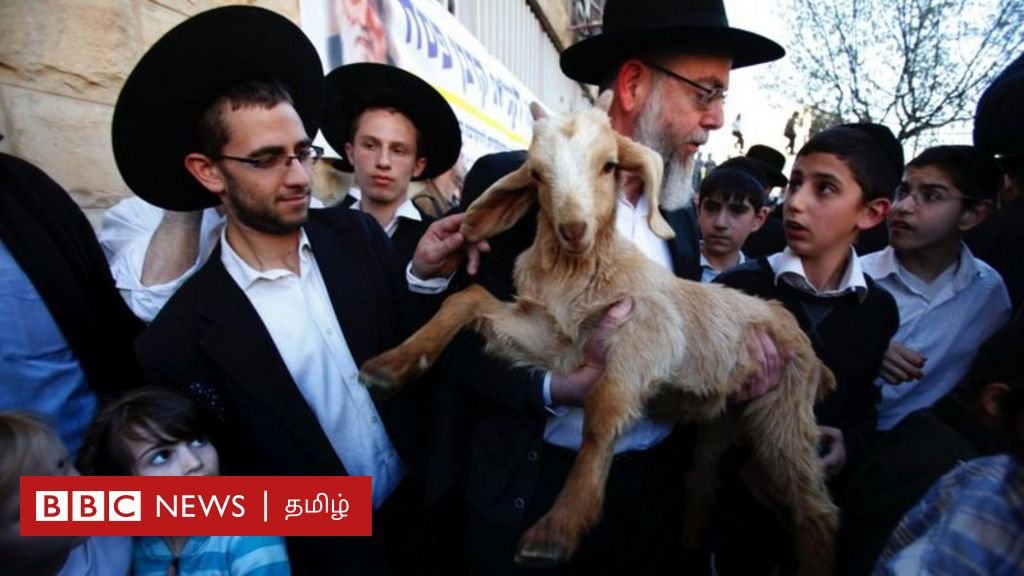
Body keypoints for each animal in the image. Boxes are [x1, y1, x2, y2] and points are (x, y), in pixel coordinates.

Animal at [360, 95, 839, 575]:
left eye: (609, 165)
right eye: (537, 173)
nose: (574, 229)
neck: (579, 272)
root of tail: (812, 352)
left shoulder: (647, 333)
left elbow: (601, 410)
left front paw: (557, 529)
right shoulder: (554, 341)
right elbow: (467, 298)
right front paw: (390, 367)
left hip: (785, 409)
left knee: (815, 508)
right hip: (728, 419)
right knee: (709, 477)